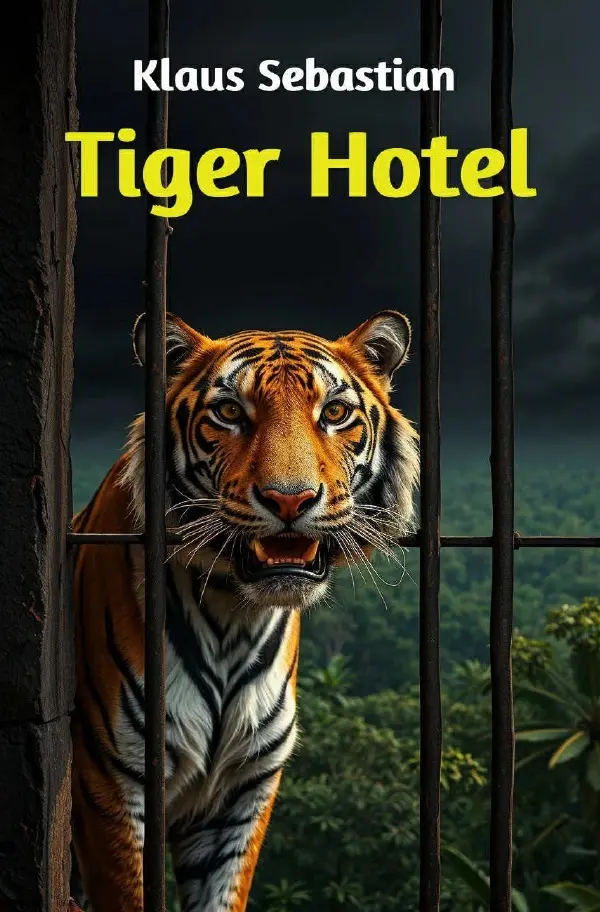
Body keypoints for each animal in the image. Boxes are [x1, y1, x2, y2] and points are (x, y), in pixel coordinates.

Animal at [70, 310, 419, 912]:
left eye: (334, 413)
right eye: (230, 412)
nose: (290, 500)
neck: (233, 616)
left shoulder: (241, 790)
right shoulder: (112, 782)